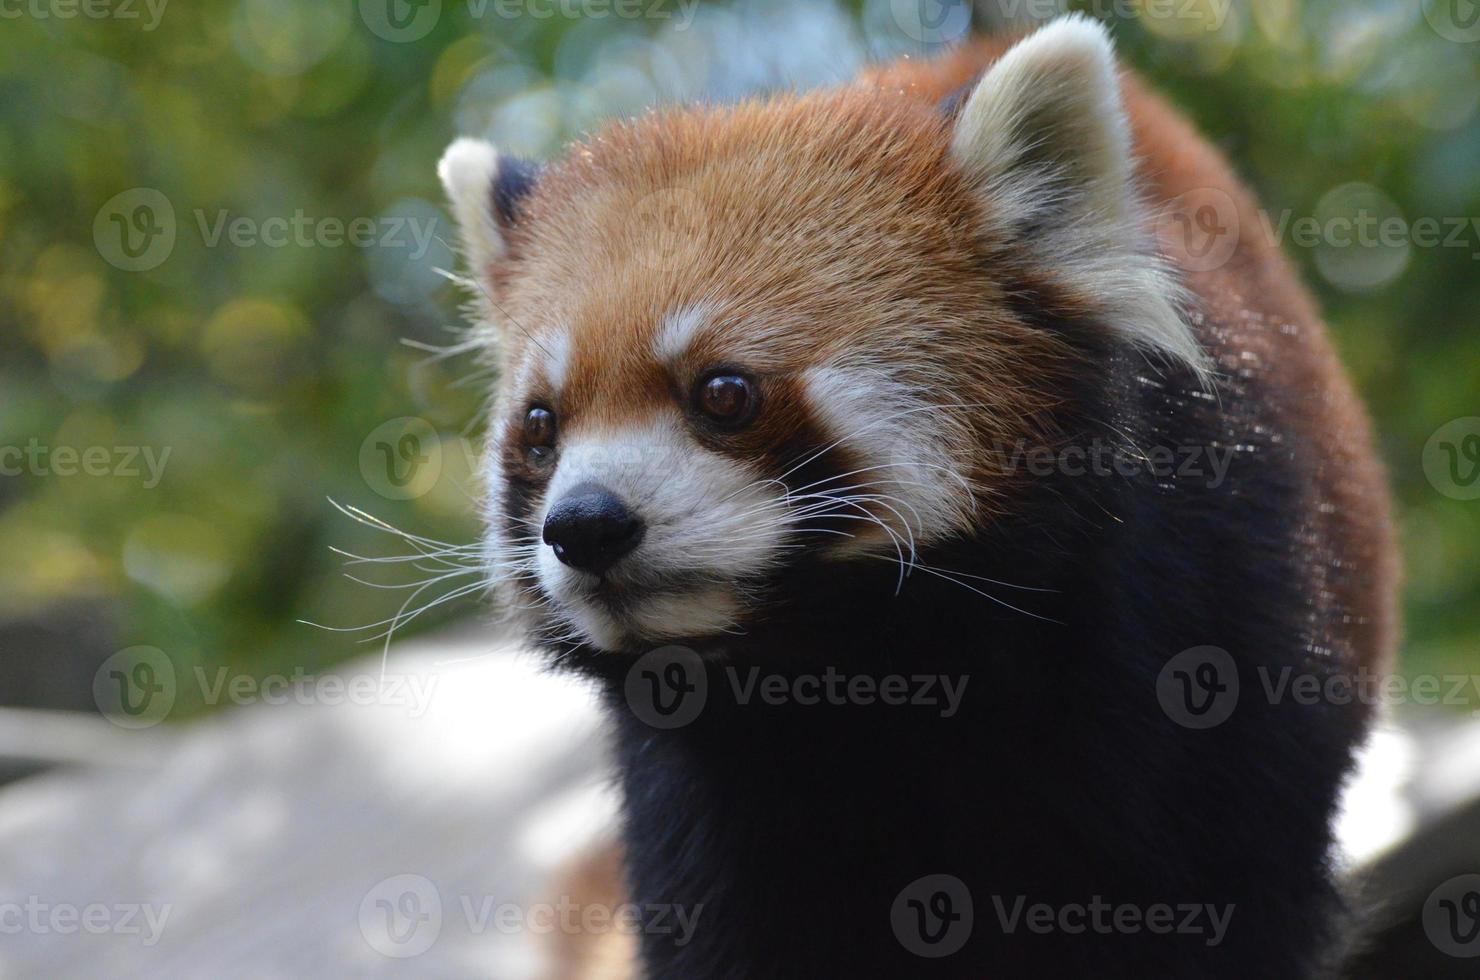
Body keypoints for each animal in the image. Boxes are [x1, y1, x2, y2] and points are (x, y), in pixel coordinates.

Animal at [438, 15, 1397, 980]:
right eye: (541, 426)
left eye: (724, 393)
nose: (586, 526)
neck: (874, 672)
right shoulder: (701, 805)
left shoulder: (1220, 650)